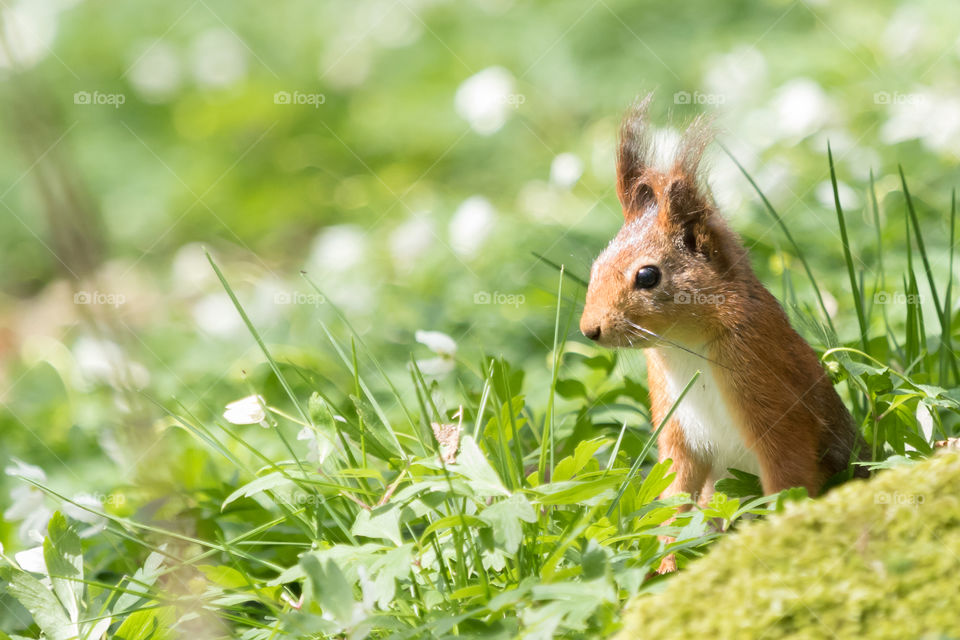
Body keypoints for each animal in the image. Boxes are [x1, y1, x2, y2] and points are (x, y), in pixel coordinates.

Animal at [579, 96, 869, 572]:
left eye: (647, 275)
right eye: (595, 266)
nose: (591, 330)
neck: (686, 348)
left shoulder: (772, 397)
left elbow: (787, 479)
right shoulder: (675, 424)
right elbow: (673, 494)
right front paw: (665, 566)